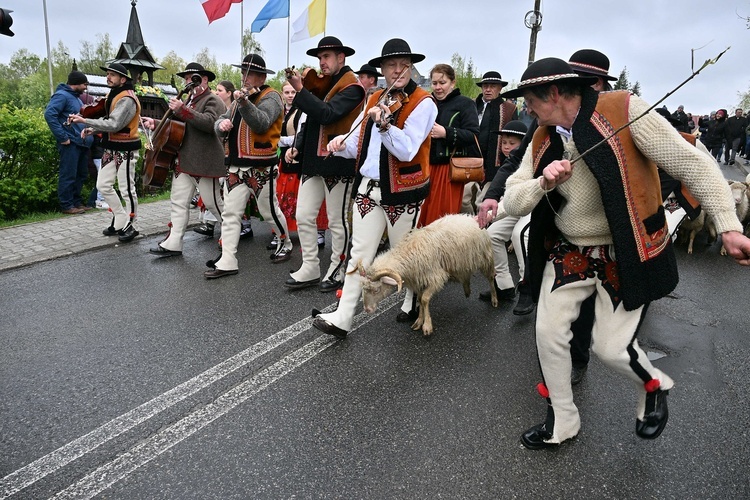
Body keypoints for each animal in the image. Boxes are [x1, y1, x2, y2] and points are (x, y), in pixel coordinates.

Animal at [360, 213, 500, 338]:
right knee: (465, 274)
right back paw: (467, 289)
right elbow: (420, 299)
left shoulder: (436, 278)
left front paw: (427, 326)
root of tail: (471, 217)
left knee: (491, 278)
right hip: (463, 261)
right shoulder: (419, 281)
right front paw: (419, 321)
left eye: (376, 290)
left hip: (485, 258)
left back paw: (494, 299)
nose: (367, 310)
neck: (408, 253)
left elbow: (424, 299)